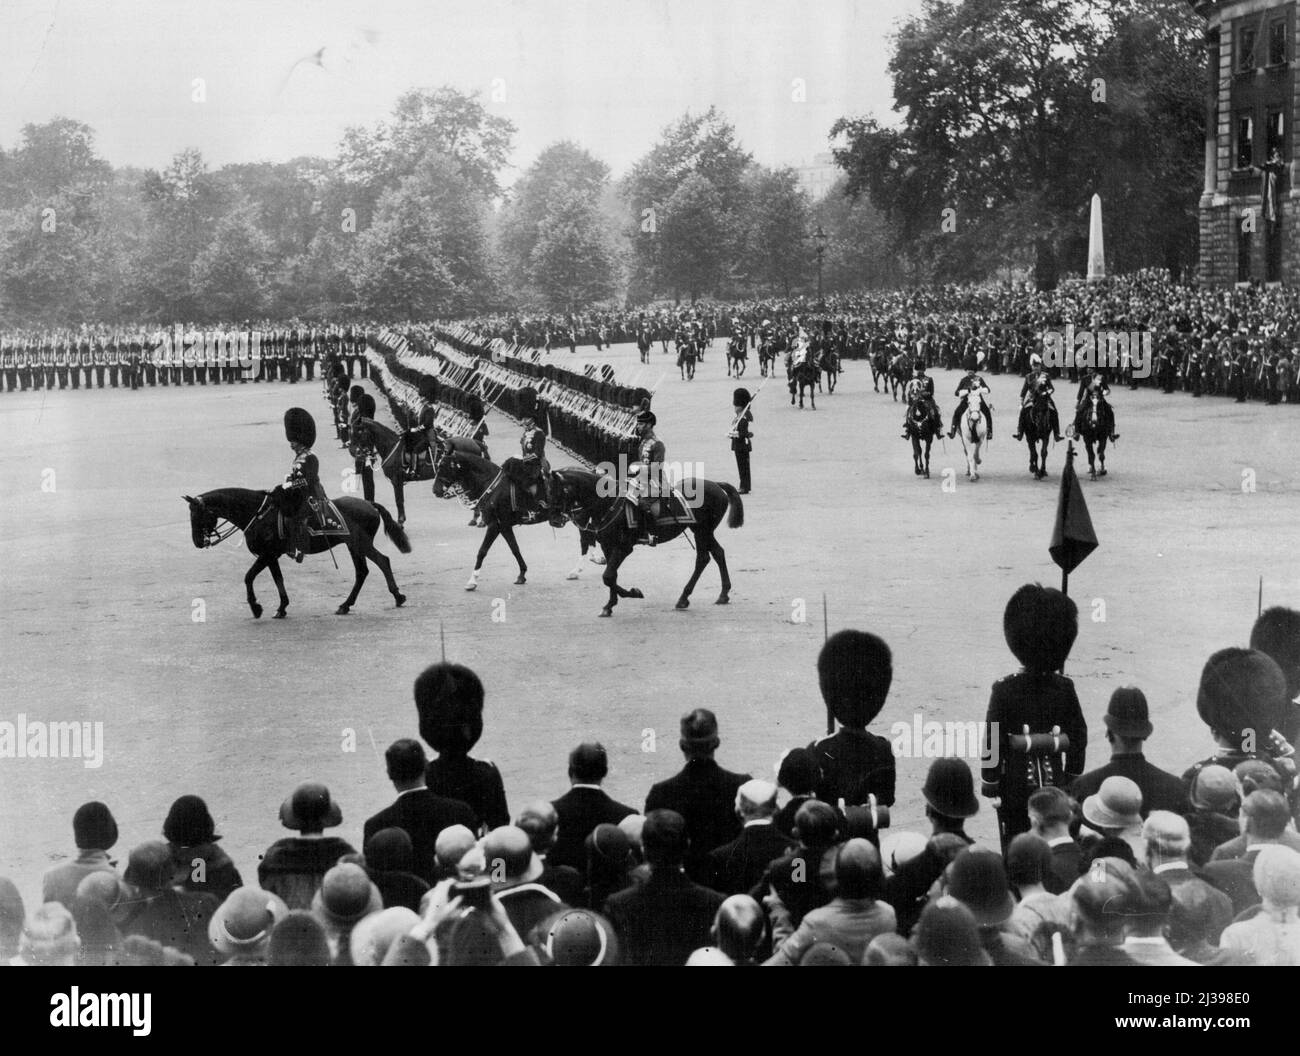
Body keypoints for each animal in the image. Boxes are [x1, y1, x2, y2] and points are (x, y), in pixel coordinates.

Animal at [185, 486, 408, 619]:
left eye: (197, 516)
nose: (197, 542)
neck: (257, 515)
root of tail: (369, 503)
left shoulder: (267, 555)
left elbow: (248, 577)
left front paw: (256, 607)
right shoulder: (271, 556)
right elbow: (278, 579)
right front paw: (282, 607)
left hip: (360, 544)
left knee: (383, 561)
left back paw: (398, 596)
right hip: (353, 546)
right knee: (362, 572)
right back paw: (346, 605)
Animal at [431, 447, 603, 593]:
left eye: (443, 466)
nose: (435, 490)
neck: (493, 486)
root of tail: (591, 474)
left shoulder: (495, 525)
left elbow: (482, 551)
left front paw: (472, 581)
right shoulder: (504, 526)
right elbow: (515, 548)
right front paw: (522, 574)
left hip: (580, 516)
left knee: (586, 540)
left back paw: (578, 569)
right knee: (589, 537)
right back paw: (592, 561)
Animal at [553, 470, 748, 619]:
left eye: (557, 491)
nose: (555, 520)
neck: (607, 503)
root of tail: (716, 484)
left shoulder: (624, 547)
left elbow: (608, 576)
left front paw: (633, 593)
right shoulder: (608, 546)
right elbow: (611, 576)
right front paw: (610, 605)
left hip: (702, 531)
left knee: (704, 558)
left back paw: (690, 597)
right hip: (701, 531)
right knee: (715, 554)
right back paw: (717, 594)